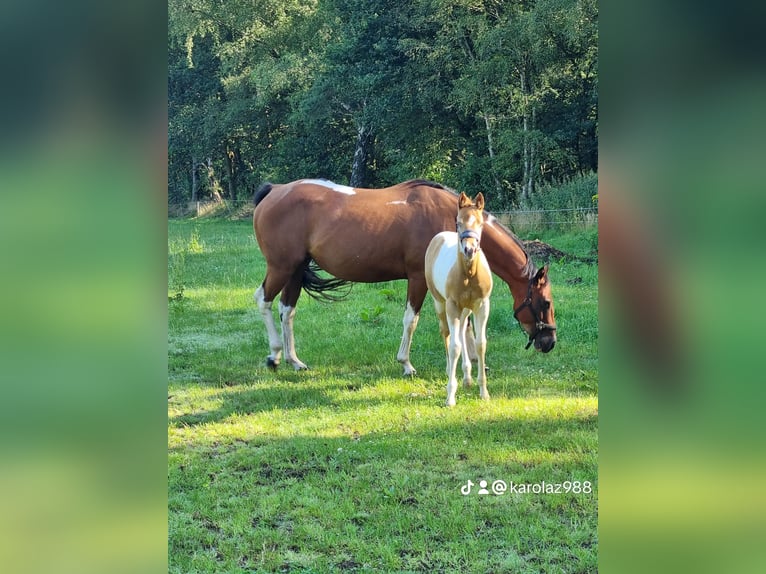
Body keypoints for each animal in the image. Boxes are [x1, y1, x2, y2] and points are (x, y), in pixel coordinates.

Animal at [252, 181, 560, 378]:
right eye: (545, 303)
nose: (550, 342)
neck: (449, 219)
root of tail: (274, 190)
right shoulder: (419, 280)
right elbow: (412, 320)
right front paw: (406, 364)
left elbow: (467, 324)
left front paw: (475, 362)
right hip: (281, 267)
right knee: (263, 301)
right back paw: (274, 355)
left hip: (295, 270)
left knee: (287, 310)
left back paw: (293, 360)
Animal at [424, 191, 496, 408]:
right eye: (458, 222)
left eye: (481, 223)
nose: (469, 250)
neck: (469, 273)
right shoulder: (452, 306)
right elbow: (454, 346)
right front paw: (450, 397)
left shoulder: (482, 305)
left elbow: (480, 344)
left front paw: (484, 392)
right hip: (441, 304)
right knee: (447, 335)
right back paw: (451, 371)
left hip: (465, 309)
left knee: (463, 330)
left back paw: (467, 378)